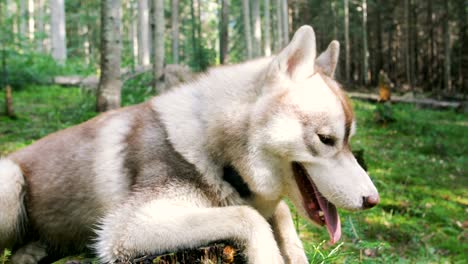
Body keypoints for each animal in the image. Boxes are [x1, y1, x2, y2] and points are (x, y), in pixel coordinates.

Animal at [0, 25, 378, 264]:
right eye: (326, 140)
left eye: (348, 142)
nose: (372, 200)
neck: (219, 156)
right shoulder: (124, 229)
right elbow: (249, 217)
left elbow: (280, 215)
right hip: (11, 180)